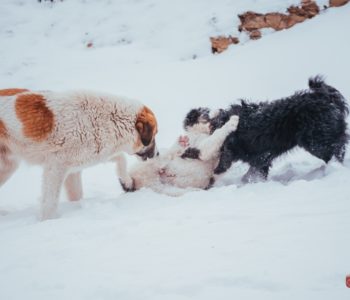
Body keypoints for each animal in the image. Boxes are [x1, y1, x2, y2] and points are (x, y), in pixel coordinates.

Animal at [0, 88, 158, 219]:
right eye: (154, 135)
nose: (157, 154)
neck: (107, 120)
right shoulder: (55, 168)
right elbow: (50, 202)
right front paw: (48, 221)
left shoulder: (76, 168)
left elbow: (120, 159)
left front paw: (127, 183)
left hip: (7, 167)